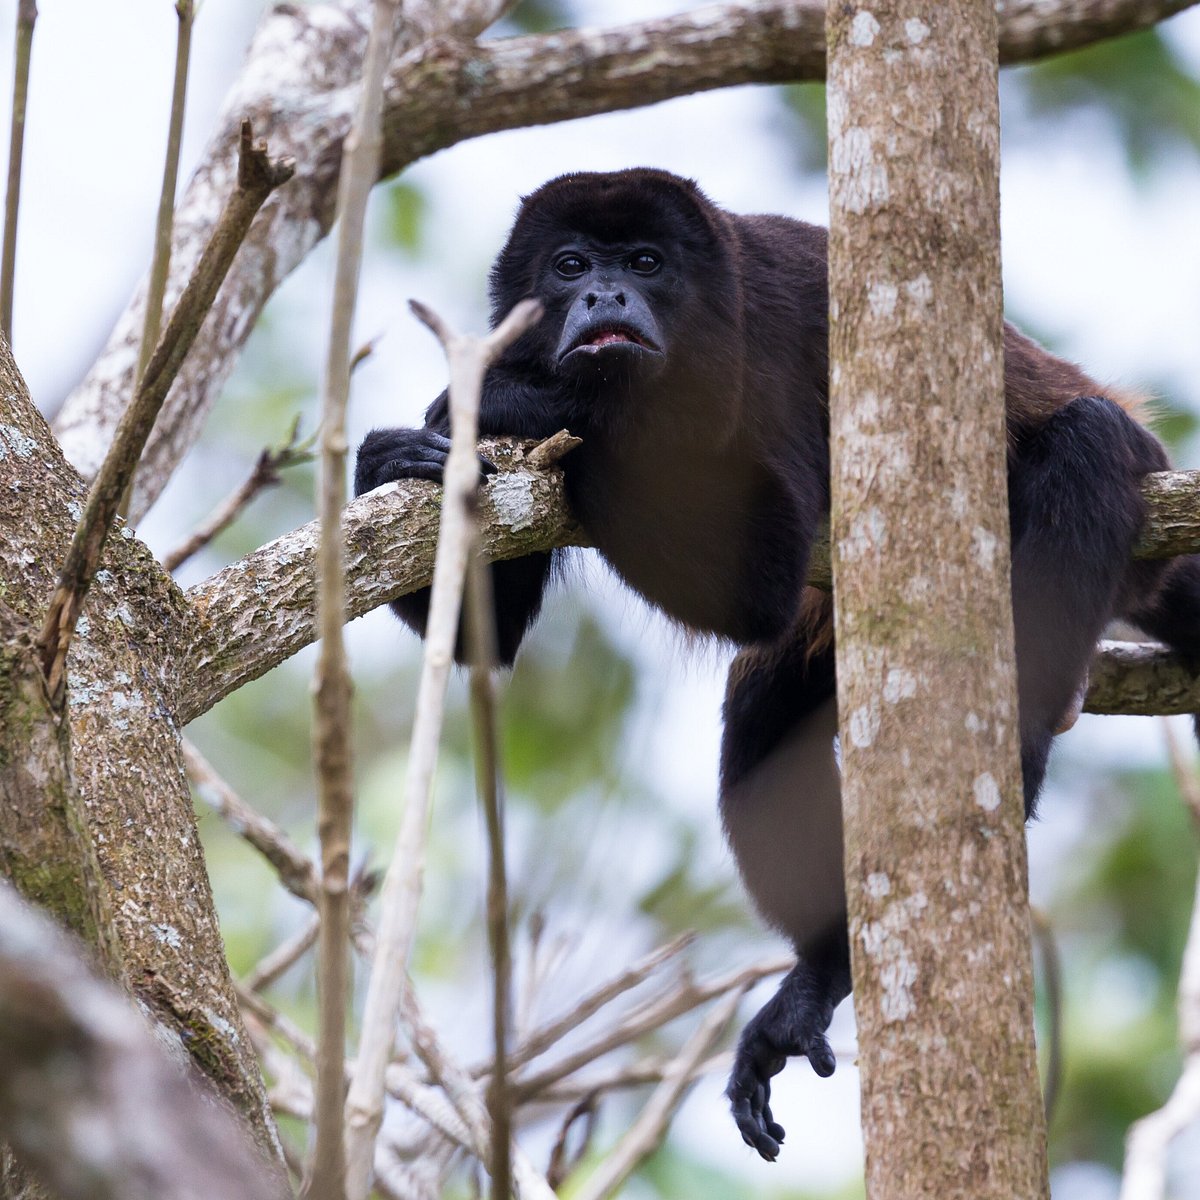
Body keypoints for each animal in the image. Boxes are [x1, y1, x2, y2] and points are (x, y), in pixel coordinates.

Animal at [355, 168, 1200, 1161]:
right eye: (570, 267)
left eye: (645, 263)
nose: (606, 296)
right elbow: (483, 637)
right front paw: (391, 459)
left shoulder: (785, 338)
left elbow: (755, 575)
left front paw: (534, 403)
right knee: (757, 748)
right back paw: (818, 974)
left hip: (1138, 493)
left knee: (1089, 441)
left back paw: (1019, 743)